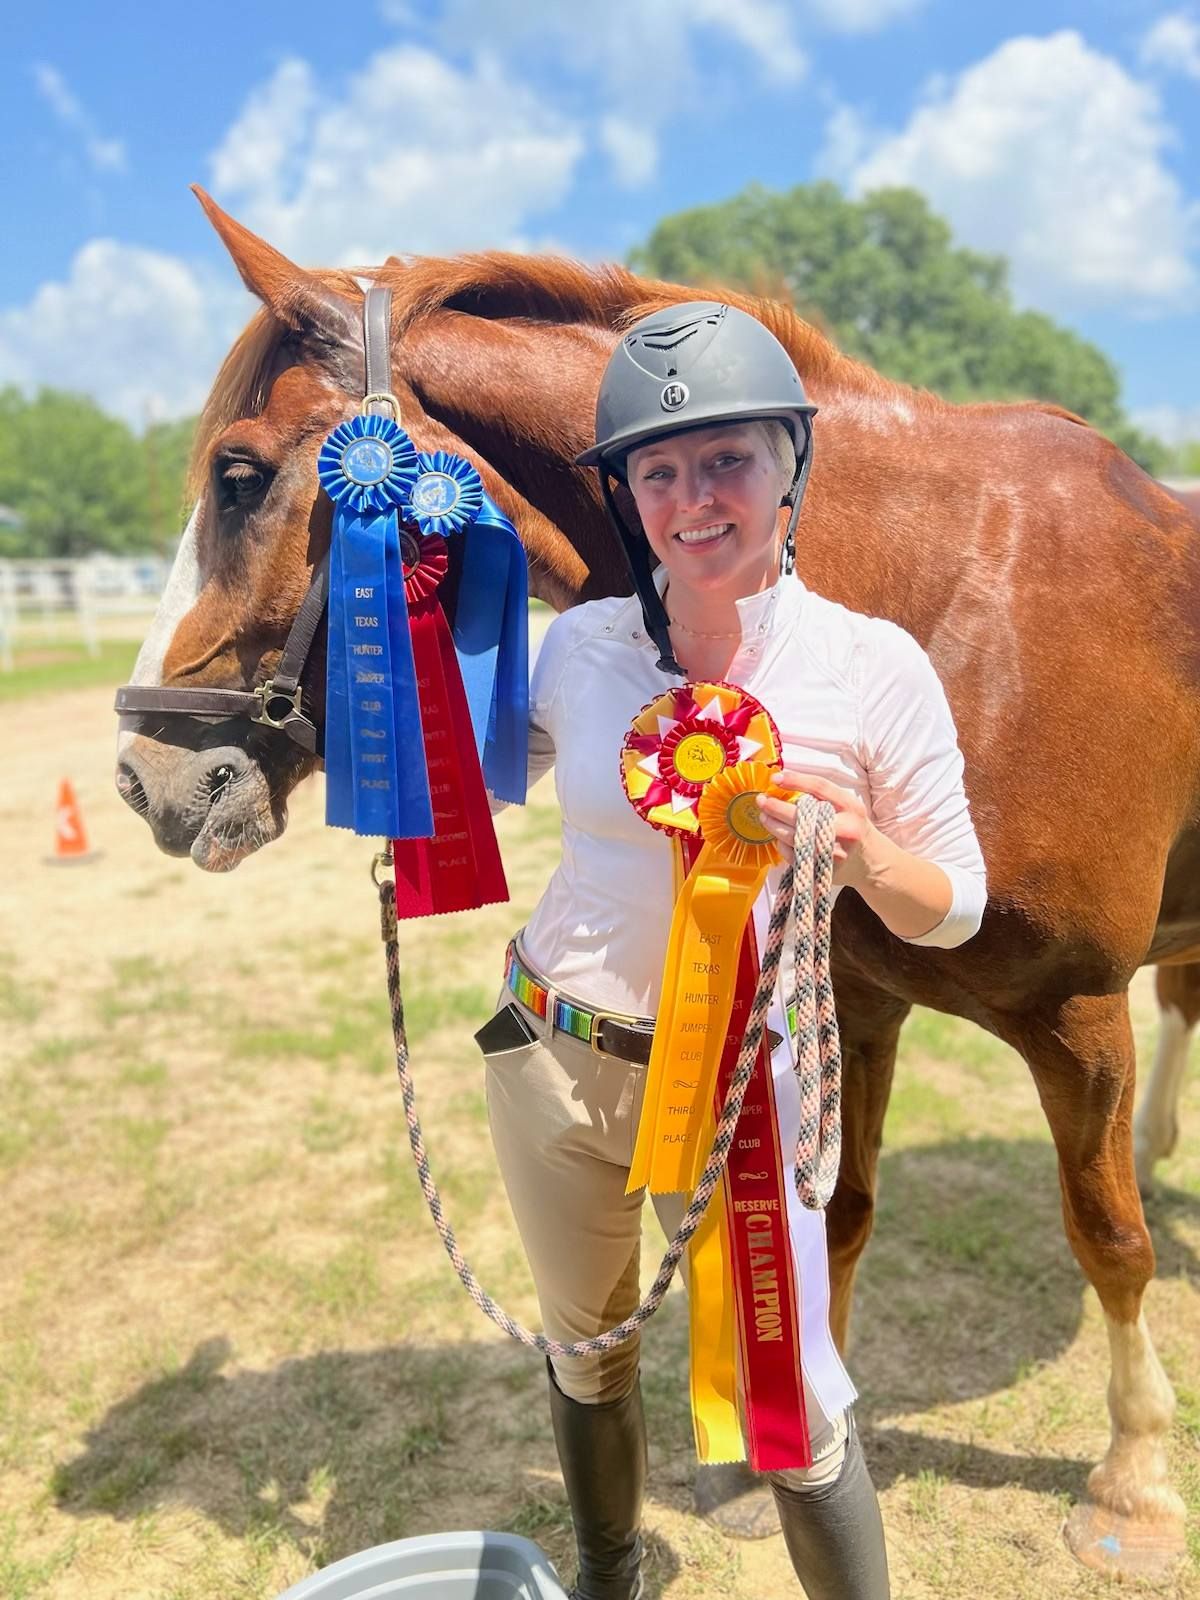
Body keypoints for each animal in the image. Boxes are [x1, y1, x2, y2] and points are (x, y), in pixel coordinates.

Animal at [115, 190, 1200, 1574]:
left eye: (240, 475)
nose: (143, 774)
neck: (963, 601)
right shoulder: (860, 998)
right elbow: (841, 1215)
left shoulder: (1077, 1017)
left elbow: (1108, 1241)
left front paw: (1135, 1481)